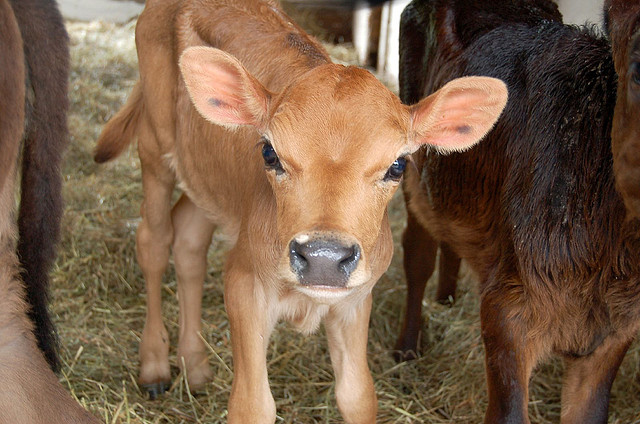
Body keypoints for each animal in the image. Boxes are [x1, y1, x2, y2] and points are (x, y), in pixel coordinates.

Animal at [94, 0, 504, 420]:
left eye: (398, 165)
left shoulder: (356, 301)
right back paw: (155, 365)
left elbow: (358, 396)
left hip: (204, 176)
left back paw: (195, 367)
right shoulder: (244, 284)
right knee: (154, 241)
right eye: (269, 153)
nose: (324, 257)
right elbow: (252, 405)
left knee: (189, 242)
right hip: (154, 145)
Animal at [396, 0, 640, 422]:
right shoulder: (509, 308)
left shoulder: (617, 332)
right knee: (417, 253)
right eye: (639, 70)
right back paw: (408, 348)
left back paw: (446, 298)